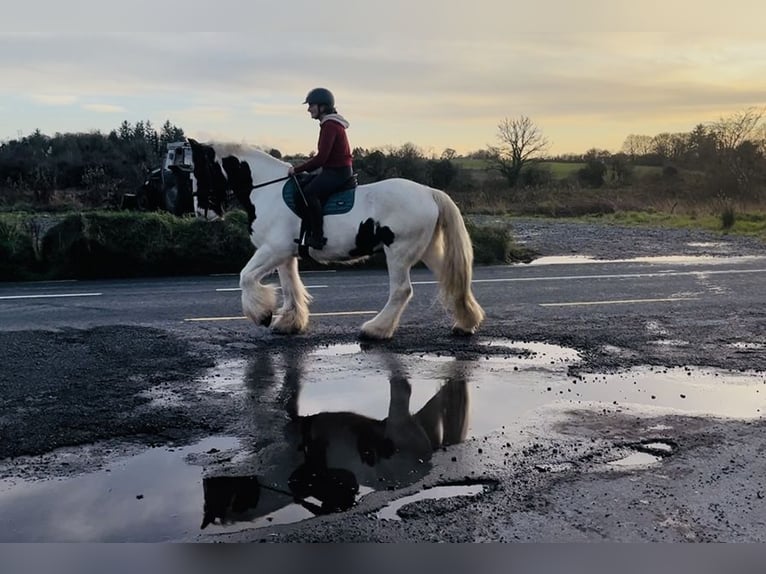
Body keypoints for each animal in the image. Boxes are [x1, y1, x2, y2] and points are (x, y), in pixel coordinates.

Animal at [187, 139, 485, 340]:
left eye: (199, 172)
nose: (202, 212)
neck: (267, 191)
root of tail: (429, 192)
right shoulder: (284, 254)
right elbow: (290, 287)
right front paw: (289, 323)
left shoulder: (273, 250)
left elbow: (246, 276)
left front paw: (261, 314)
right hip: (427, 250)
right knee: (451, 279)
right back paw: (465, 323)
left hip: (399, 252)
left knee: (401, 291)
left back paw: (375, 330)